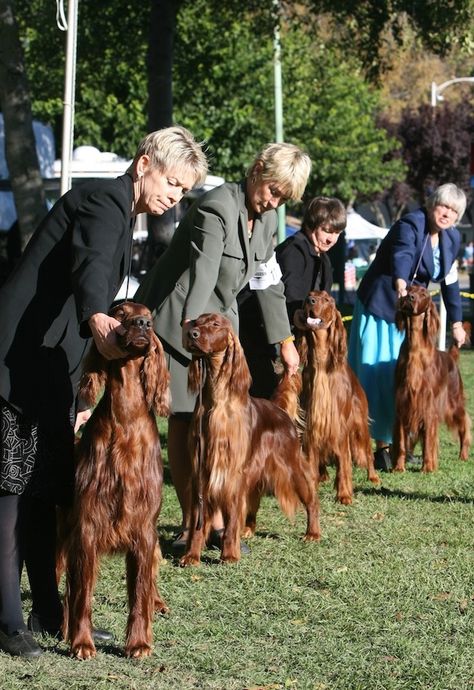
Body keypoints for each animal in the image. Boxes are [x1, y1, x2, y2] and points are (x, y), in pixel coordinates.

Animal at [63, 300, 170, 656]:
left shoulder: (144, 528)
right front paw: (81, 641)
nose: (143, 325)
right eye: (121, 313)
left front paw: (138, 643)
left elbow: (139, 592)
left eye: (149, 316)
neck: (126, 419)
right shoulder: (86, 526)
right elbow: (82, 593)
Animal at [180, 312, 320, 564]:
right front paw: (192, 556)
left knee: (311, 498)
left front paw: (229, 555)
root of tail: (279, 410)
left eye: (215, 324)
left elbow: (232, 518)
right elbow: (198, 521)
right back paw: (248, 529)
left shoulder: (234, 472)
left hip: (291, 466)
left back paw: (312, 533)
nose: (191, 334)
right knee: (254, 497)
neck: (217, 401)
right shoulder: (201, 471)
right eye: (196, 322)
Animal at [294, 288, 380, 502]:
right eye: (309, 294)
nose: (310, 300)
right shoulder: (311, 425)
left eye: (326, 299)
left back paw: (373, 476)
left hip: (359, 425)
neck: (321, 361)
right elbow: (312, 460)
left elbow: (343, 461)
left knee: (367, 451)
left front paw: (344, 494)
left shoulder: (339, 426)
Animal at [392, 282, 470, 470]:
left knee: (464, 423)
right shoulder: (402, 402)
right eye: (409, 289)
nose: (409, 297)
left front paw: (427, 468)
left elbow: (428, 439)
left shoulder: (427, 404)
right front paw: (399, 467)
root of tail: (450, 356)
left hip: (454, 403)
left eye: (423, 293)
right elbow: (401, 441)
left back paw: (463, 455)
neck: (415, 348)